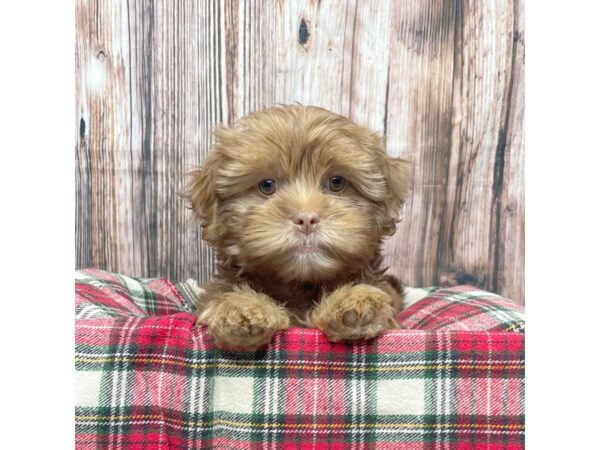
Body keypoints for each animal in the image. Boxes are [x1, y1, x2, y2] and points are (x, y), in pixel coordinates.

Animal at [183, 103, 408, 350]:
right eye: (267, 185)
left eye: (336, 183)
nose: (307, 219)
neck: (301, 284)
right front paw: (240, 308)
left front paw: (355, 303)